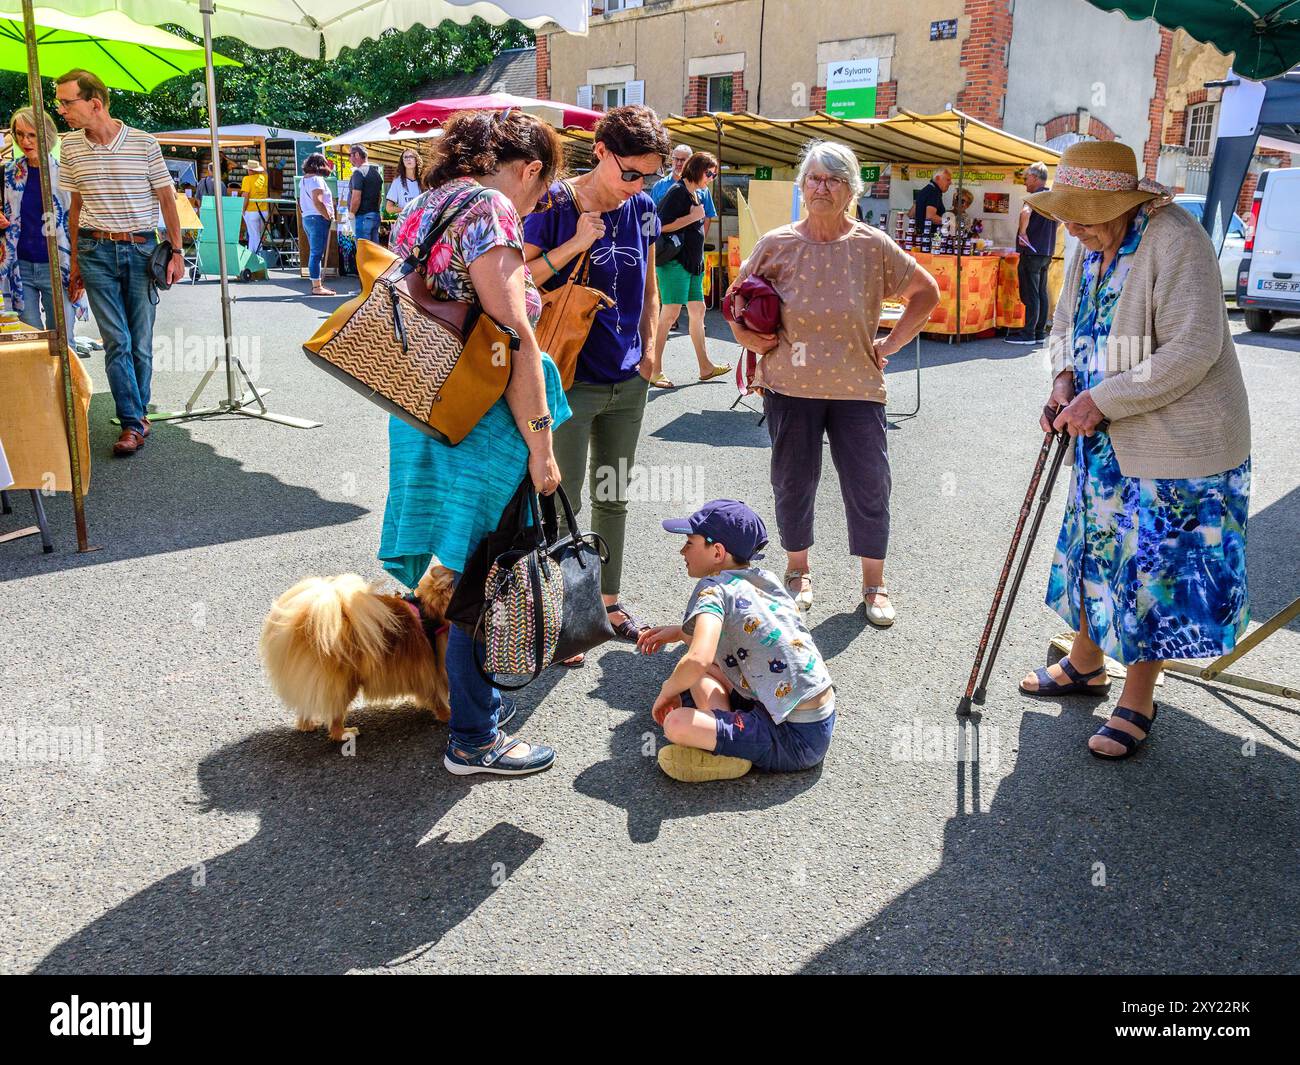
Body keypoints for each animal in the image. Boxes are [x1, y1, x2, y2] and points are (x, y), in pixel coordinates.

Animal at [256, 566, 454, 743]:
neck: (433, 611)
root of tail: (307, 622)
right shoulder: (434, 670)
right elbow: (438, 696)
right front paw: (448, 715)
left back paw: (308, 724)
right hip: (345, 683)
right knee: (335, 715)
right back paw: (344, 733)